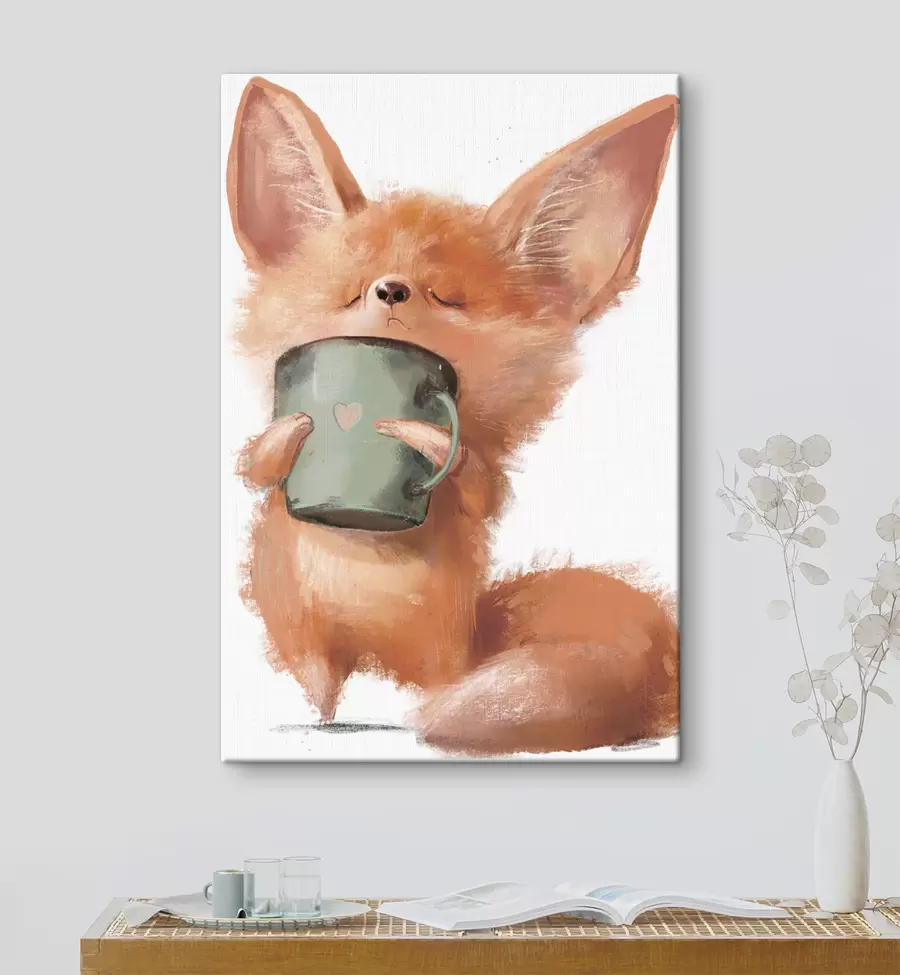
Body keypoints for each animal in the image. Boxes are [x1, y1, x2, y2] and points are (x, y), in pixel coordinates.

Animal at [227, 76, 679, 756]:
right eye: (349, 292)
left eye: (447, 297)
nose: (391, 289)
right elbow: (254, 467)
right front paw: (293, 431)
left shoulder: (482, 479)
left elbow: (479, 483)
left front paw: (428, 438)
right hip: (304, 640)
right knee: (321, 689)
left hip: (441, 658)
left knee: (427, 688)